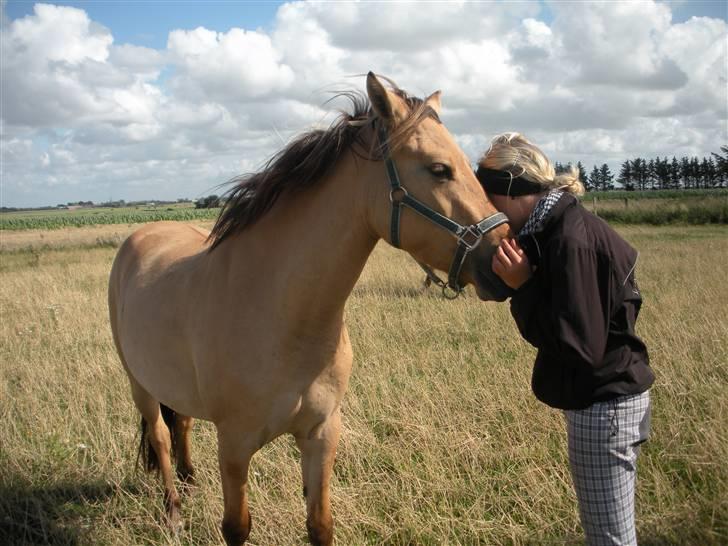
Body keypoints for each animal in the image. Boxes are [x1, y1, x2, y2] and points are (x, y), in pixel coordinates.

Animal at [108, 72, 512, 544]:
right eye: (439, 169)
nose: (506, 257)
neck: (282, 315)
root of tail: (143, 234)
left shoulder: (321, 434)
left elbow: (320, 525)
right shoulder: (234, 446)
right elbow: (236, 527)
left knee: (183, 424)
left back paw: (190, 484)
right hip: (139, 384)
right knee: (160, 436)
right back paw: (173, 510)